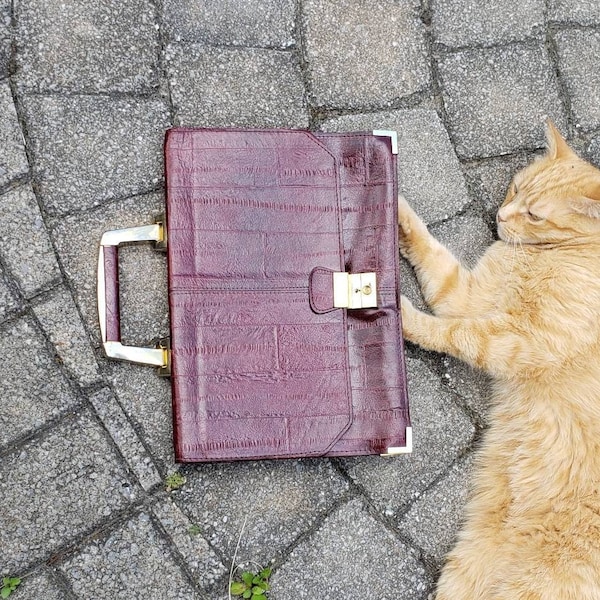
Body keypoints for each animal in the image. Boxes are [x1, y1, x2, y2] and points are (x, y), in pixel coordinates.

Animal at [400, 123, 600, 600]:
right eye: (516, 188)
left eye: (536, 216)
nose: (502, 217)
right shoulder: (466, 296)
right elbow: (427, 247)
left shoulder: (521, 340)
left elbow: (455, 333)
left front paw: (399, 314)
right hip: (466, 568)